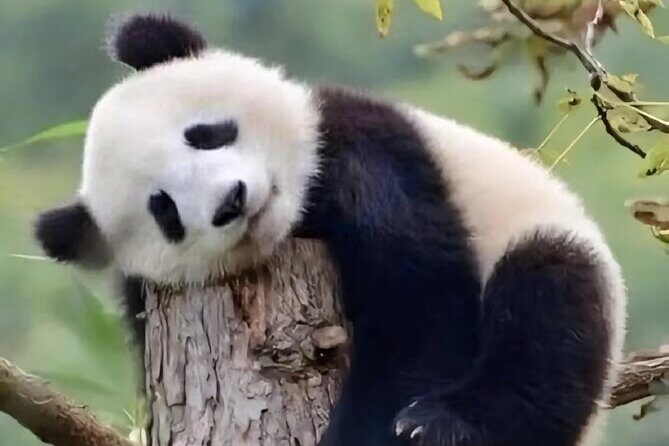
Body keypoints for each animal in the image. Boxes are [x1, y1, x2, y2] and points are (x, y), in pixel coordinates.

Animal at [35, 15, 626, 446]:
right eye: (165, 211)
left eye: (205, 134)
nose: (231, 201)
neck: (300, 212)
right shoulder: (142, 294)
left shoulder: (363, 148)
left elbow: (419, 304)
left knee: (546, 310)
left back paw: (443, 424)